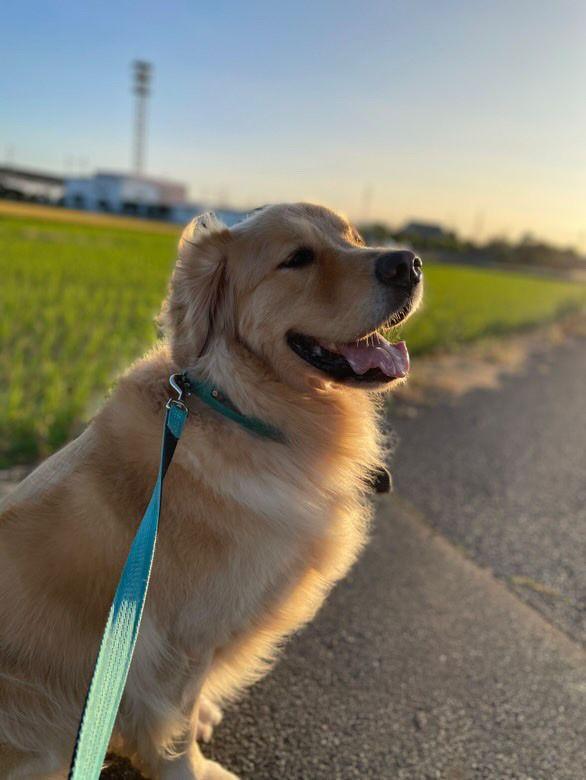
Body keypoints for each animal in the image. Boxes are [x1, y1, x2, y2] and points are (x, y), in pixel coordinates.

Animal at [0, 204, 420, 776]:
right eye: (297, 258)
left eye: (354, 237)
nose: (409, 264)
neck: (242, 408)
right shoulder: (180, 642)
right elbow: (173, 724)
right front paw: (190, 768)